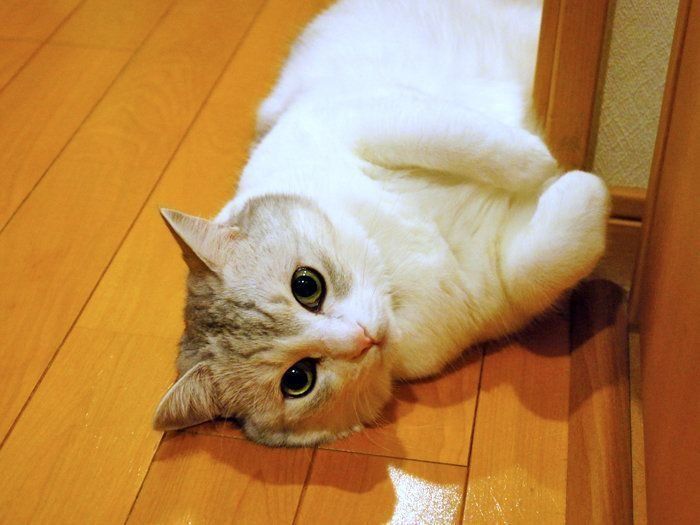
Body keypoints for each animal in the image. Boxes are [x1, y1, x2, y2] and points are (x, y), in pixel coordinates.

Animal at [153, 0, 609, 446]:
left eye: (306, 285)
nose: (362, 338)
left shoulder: (367, 114)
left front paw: (548, 163)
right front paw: (581, 186)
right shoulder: (499, 281)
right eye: (298, 379)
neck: (390, 261)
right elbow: (546, 258)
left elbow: (484, 145)